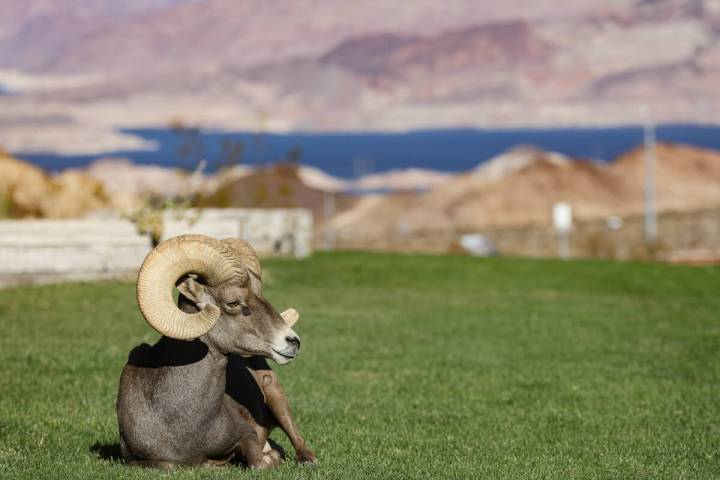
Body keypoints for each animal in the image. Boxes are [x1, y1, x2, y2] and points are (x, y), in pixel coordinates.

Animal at [116, 234, 316, 469]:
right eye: (233, 302)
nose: (293, 341)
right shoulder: (136, 459)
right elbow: (169, 464)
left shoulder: (247, 434)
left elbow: (259, 461)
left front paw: (268, 457)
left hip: (276, 395)